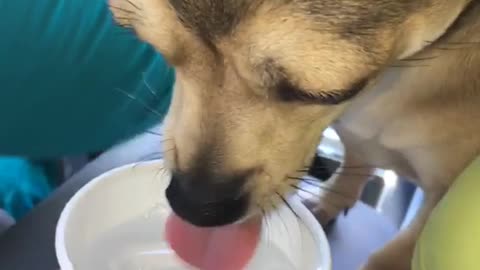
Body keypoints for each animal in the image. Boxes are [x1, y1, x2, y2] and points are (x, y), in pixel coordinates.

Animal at [109, 1, 480, 268]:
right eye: (148, 44)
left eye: (326, 94)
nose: (193, 205)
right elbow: (356, 157)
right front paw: (330, 201)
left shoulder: (439, 199)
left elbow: (393, 254)